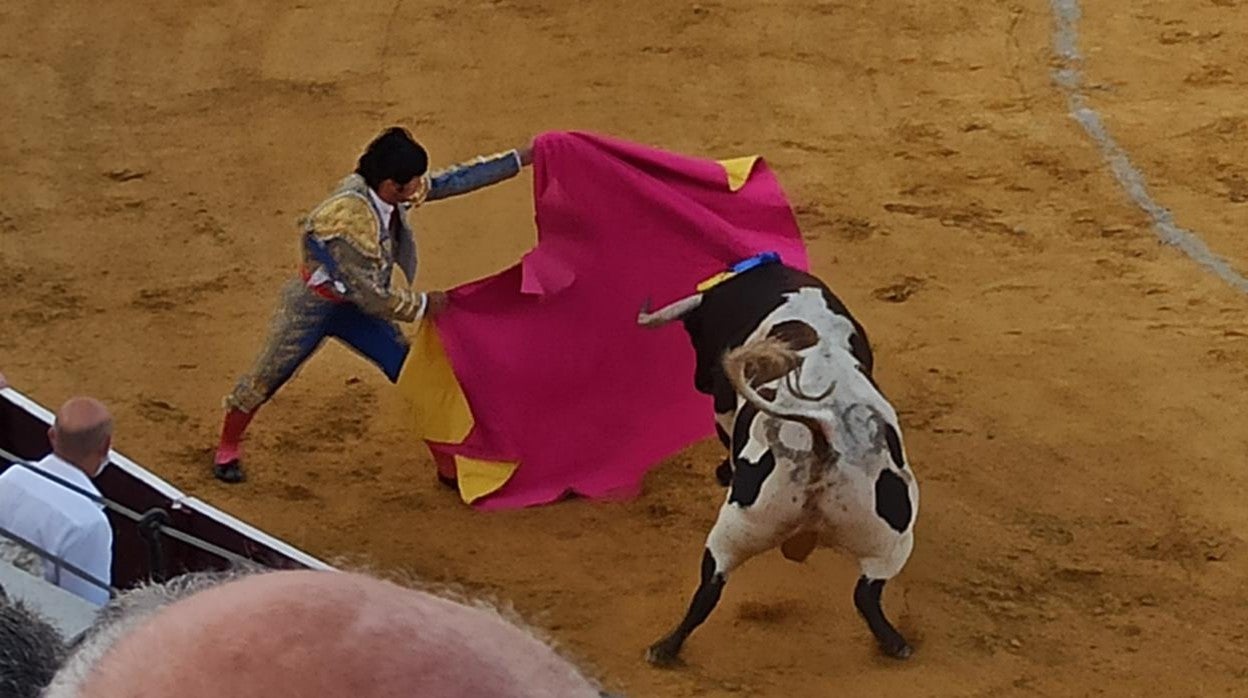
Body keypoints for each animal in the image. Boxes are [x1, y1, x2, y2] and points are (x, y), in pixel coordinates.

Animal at [638, 262, 923, 664]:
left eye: (695, 332)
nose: (699, 381)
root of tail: (822, 436)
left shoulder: (724, 406)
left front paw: (723, 470)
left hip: (737, 530)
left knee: (709, 589)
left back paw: (665, 647)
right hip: (890, 540)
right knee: (866, 594)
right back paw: (896, 643)